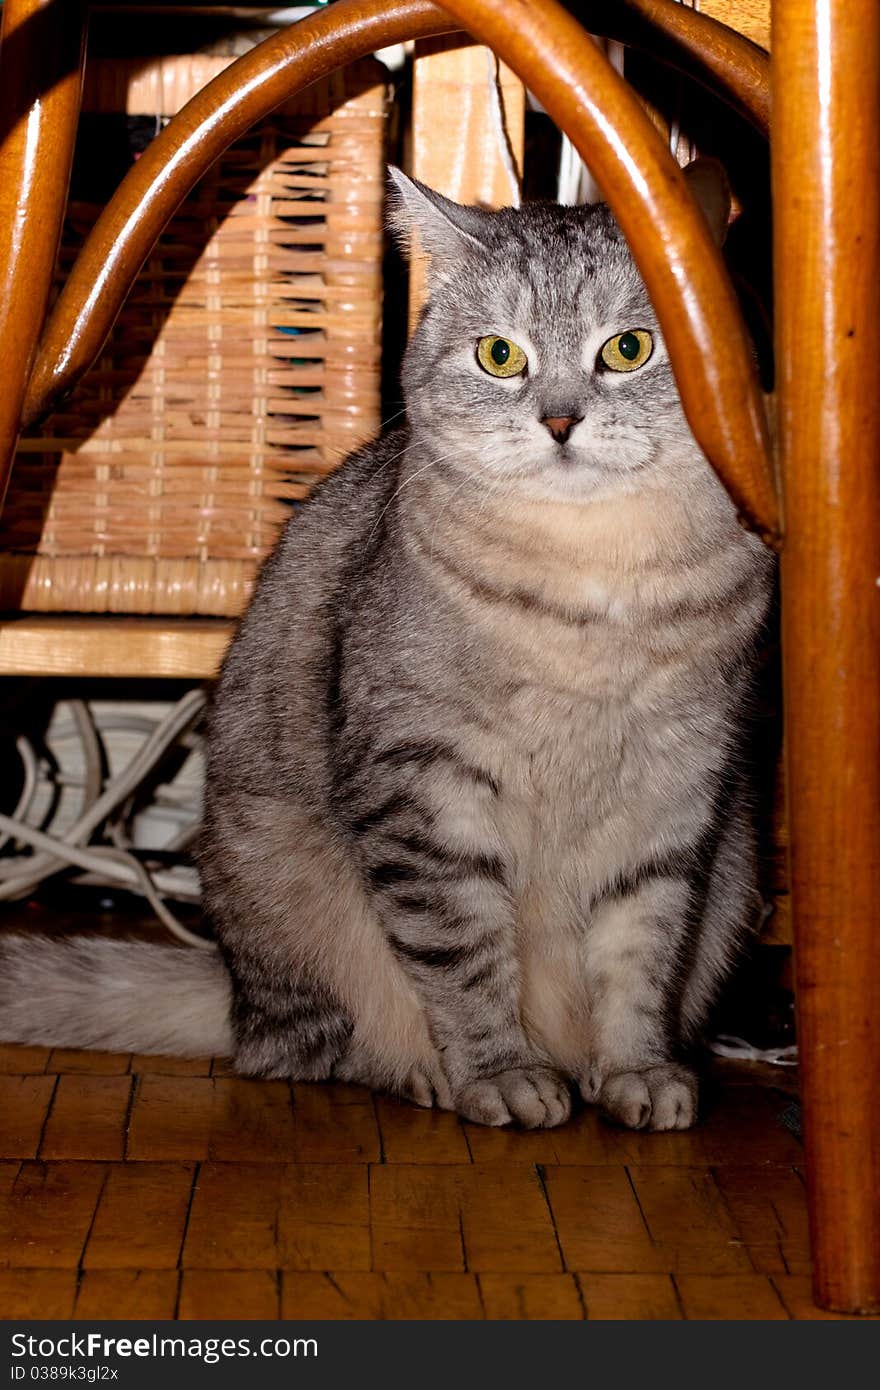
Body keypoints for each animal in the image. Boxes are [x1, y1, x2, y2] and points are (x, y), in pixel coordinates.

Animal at [0, 165, 767, 1128]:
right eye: (500, 356)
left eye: (628, 349)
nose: (559, 422)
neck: (596, 579)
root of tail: (234, 996)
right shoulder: (422, 782)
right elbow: (461, 954)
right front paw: (499, 1075)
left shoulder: (677, 793)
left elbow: (642, 954)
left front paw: (638, 1070)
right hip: (290, 896)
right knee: (309, 1049)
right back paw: (428, 1074)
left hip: (736, 870)